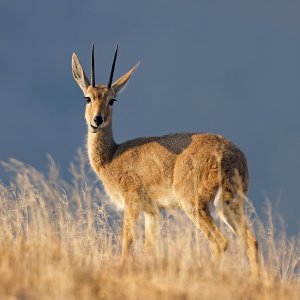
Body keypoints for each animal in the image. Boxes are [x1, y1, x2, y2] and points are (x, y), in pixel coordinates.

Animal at [71, 44, 260, 276]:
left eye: (112, 99)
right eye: (87, 98)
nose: (97, 120)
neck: (112, 156)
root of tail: (230, 154)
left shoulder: (131, 202)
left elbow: (127, 243)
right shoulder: (153, 211)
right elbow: (148, 249)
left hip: (195, 204)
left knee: (220, 242)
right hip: (229, 204)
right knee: (251, 241)